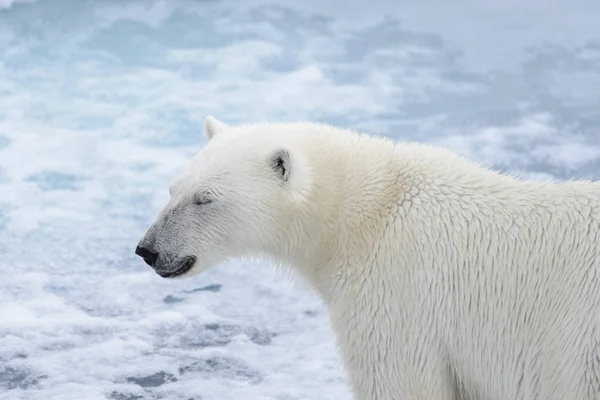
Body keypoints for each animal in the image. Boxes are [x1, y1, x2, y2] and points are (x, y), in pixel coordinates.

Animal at [135, 116, 600, 400]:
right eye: (173, 188)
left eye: (204, 198)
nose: (147, 250)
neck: (364, 216)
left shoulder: (396, 298)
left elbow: (400, 382)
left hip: (577, 344)